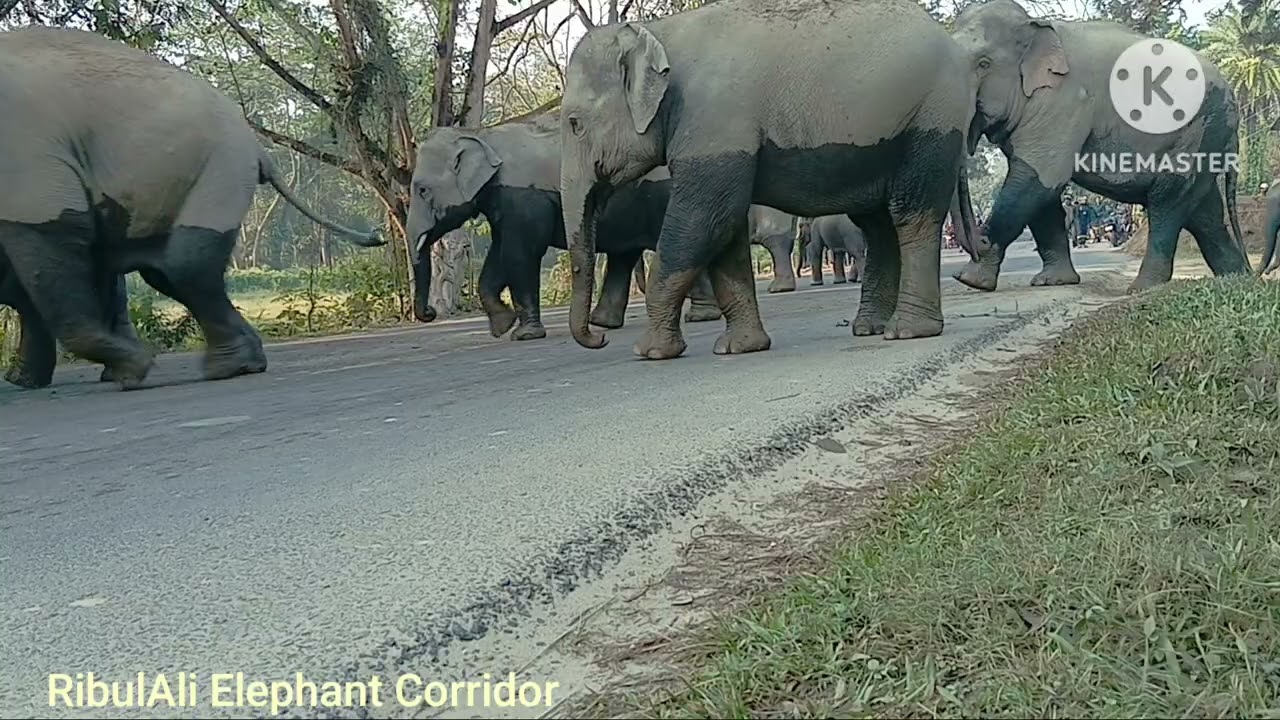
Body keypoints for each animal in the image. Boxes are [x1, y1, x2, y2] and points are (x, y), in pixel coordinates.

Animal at [0, 27, 384, 390]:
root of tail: (259, 149)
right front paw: (26, 381)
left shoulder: (27, 155)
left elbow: (50, 243)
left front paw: (134, 371)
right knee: (164, 270)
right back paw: (239, 365)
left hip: (221, 166)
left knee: (181, 266)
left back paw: (226, 369)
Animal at [405, 117, 722, 341]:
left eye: (422, 190)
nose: (430, 312)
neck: (482, 134)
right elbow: (498, 255)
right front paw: (502, 327)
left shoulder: (525, 197)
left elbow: (522, 254)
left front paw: (525, 335)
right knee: (624, 254)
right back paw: (603, 323)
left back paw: (701, 316)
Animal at [558, 0, 978, 358]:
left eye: (574, 123)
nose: (597, 338)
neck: (658, 34)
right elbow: (725, 227)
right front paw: (740, 348)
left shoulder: (716, 126)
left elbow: (702, 220)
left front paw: (651, 352)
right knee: (877, 226)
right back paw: (868, 327)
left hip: (933, 120)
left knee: (912, 217)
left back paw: (908, 330)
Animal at [950, 0, 1252, 295]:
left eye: (983, 63)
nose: (981, 240)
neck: (1036, 27)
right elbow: (1041, 188)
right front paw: (1052, 282)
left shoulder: (1065, 101)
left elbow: (1037, 179)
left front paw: (971, 280)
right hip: (1207, 136)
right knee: (1205, 212)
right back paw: (1237, 279)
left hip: (1199, 131)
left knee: (1168, 201)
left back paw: (1143, 288)